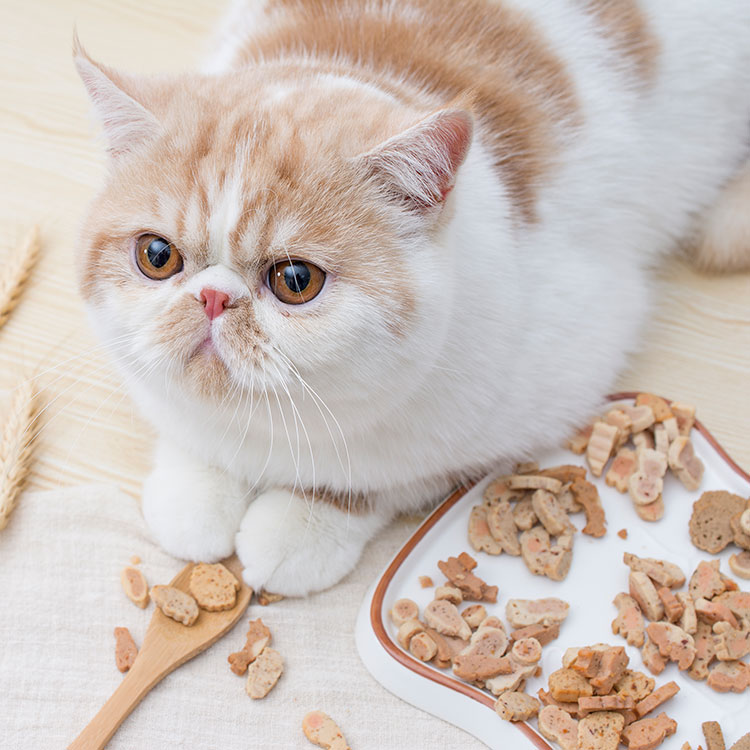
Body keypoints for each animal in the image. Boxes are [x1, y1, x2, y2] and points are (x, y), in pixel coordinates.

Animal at [75, 0, 750, 600]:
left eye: (295, 281)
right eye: (157, 256)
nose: (214, 297)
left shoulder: (555, 378)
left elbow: (379, 477)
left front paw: (302, 524)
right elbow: (187, 431)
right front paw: (196, 492)